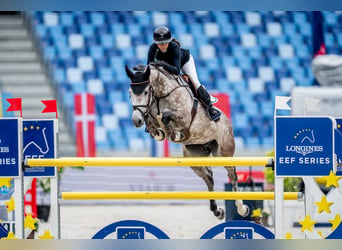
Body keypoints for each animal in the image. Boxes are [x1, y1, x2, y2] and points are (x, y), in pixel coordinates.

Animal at [125, 63, 248, 220]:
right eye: (130, 93)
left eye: (146, 92)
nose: (136, 120)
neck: (160, 94)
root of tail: (227, 120)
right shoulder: (150, 114)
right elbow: (153, 123)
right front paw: (159, 131)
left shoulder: (184, 116)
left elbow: (165, 116)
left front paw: (173, 133)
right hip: (194, 156)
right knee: (209, 177)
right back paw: (217, 211)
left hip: (224, 152)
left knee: (233, 176)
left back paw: (242, 208)